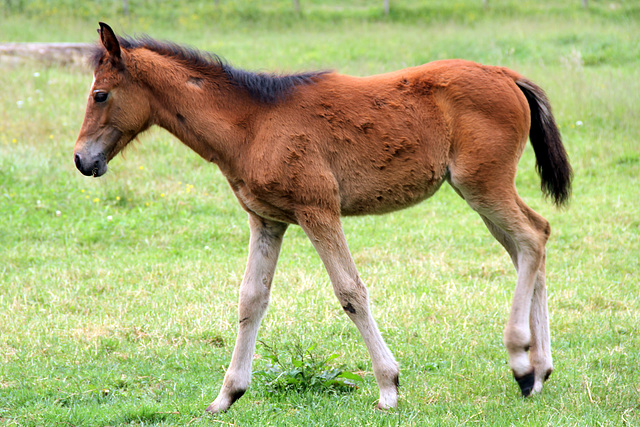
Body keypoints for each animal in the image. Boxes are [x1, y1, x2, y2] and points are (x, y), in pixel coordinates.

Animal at [74, 24, 568, 414]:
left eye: (100, 94)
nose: (81, 159)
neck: (252, 124)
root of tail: (508, 75)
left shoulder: (319, 210)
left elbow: (350, 292)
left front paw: (388, 387)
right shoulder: (266, 221)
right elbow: (251, 299)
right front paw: (226, 396)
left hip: (482, 184)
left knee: (531, 238)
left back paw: (521, 363)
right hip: (480, 190)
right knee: (532, 242)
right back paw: (540, 369)